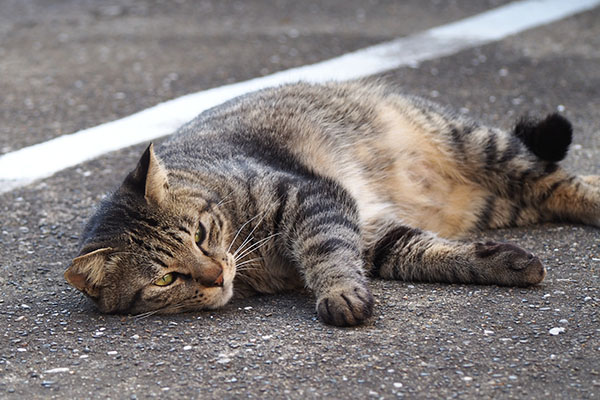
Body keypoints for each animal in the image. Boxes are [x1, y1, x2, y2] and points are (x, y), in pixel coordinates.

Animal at [63, 80, 596, 324]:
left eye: (199, 234)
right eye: (166, 279)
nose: (215, 275)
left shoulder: (310, 197)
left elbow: (325, 253)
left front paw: (338, 293)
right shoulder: (370, 232)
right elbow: (426, 253)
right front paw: (501, 263)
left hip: (480, 146)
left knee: (563, 180)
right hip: (496, 201)